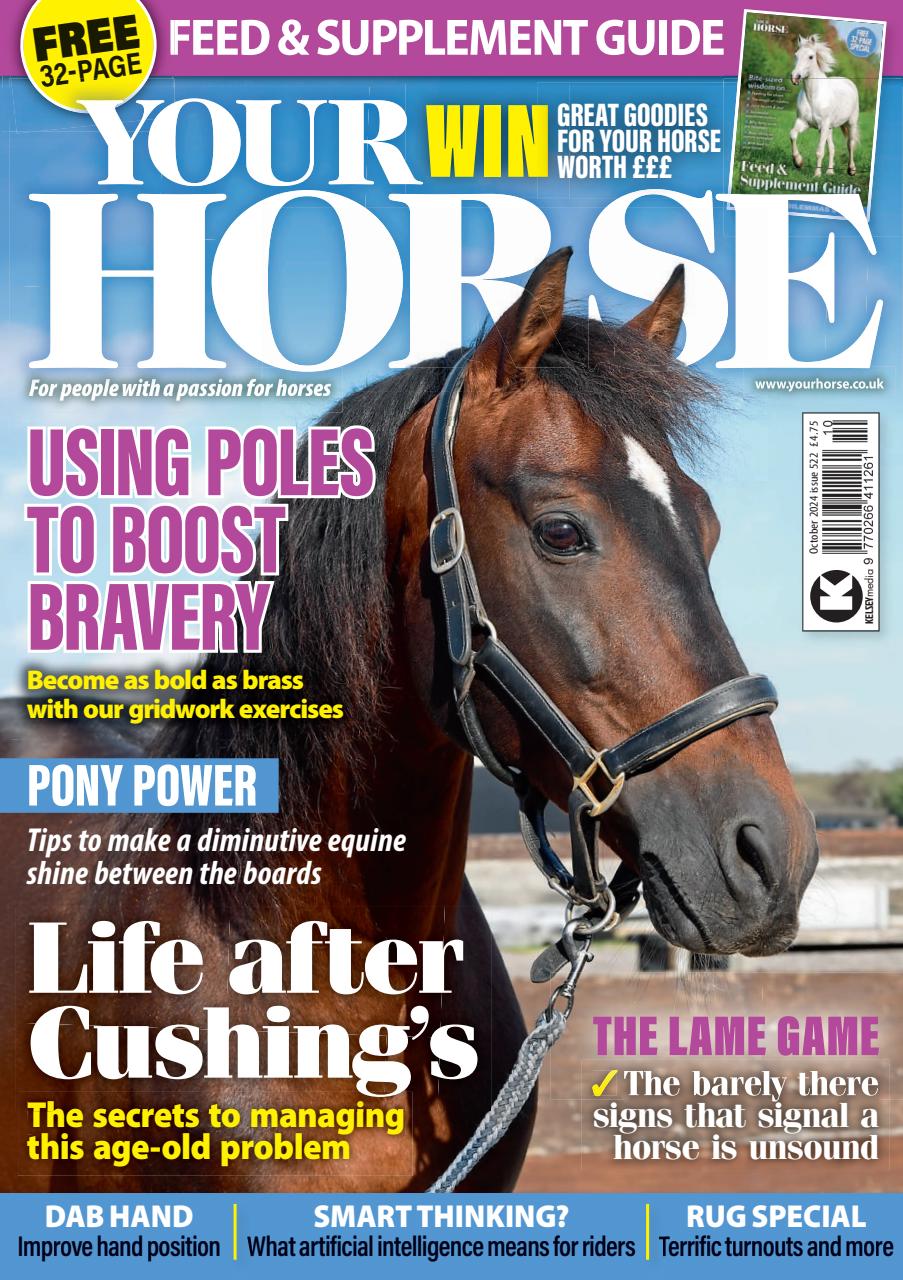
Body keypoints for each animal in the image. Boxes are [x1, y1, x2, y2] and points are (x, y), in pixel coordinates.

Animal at [789, 33, 860, 179]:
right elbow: (792, 135)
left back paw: (851, 170)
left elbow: (819, 151)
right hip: (829, 129)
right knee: (832, 148)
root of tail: (849, 82)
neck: (813, 96)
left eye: (811, 56)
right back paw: (830, 172)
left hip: (850, 123)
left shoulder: (823, 125)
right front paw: (798, 162)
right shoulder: (803, 122)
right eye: (796, 55)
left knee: (850, 144)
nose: (795, 77)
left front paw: (816, 174)